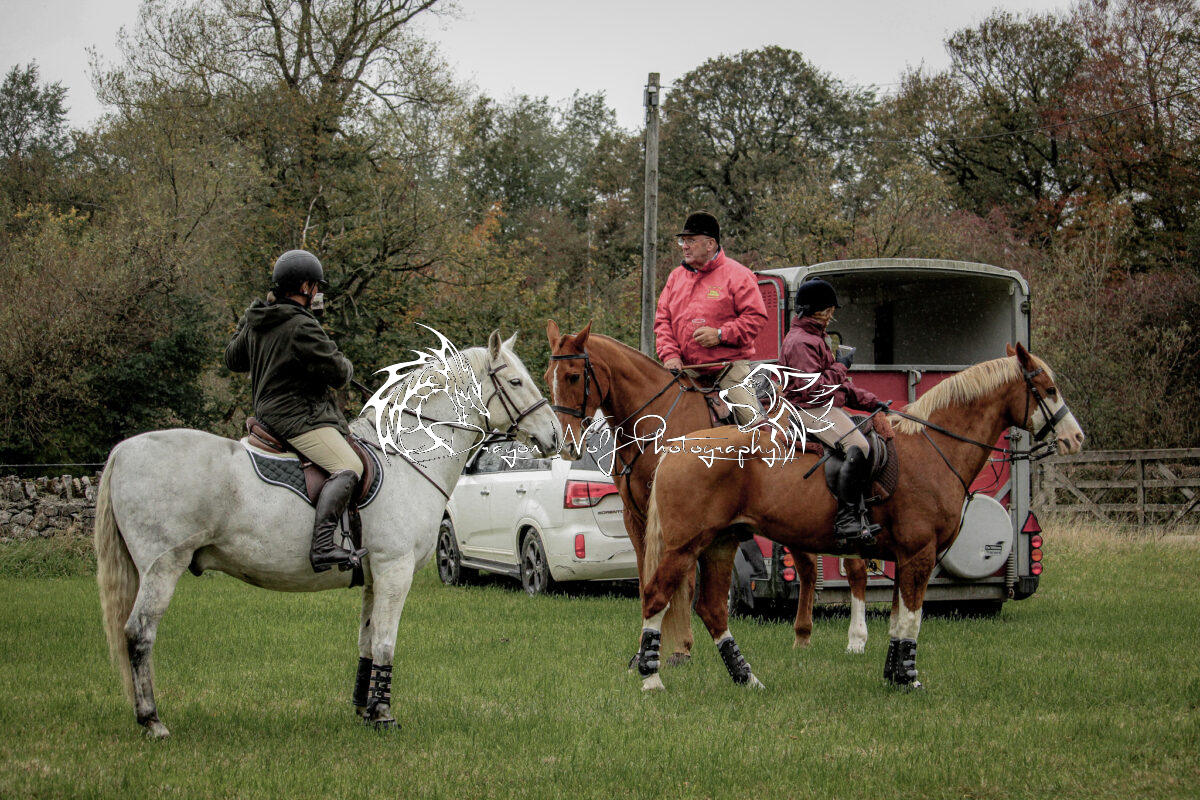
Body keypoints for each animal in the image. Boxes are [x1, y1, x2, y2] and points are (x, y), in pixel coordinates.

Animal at [95, 331, 559, 738]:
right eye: (515, 381)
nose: (554, 435)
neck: (406, 460)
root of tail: (124, 450)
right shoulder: (394, 570)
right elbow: (386, 642)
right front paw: (384, 715)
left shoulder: (374, 576)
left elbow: (367, 641)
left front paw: (364, 710)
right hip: (162, 567)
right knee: (138, 635)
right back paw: (152, 721)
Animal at [543, 320, 870, 660]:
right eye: (546, 377)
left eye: (573, 375)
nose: (564, 444)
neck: (656, 423)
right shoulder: (637, 519)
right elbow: (647, 584)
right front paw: (646, 649)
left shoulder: (685, 526)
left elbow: (684, 587)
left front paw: (680, 649)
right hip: (792, 519)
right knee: (807, 568)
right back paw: (802, 637)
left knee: (855, 566)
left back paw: (856, 640)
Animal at [633, 343, 1085, 692]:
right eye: (1048, 389)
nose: (1075, 438)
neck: (933, 449)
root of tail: (678, 446)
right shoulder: (919, 554)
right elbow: (912, 621)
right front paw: (910, 680)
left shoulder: (905, 558)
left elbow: (900, 621)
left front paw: (895, 675)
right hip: (684, 547)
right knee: (656, 597)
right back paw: (652, 681)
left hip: (720, 544)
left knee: (712, 609)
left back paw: (748, 679)